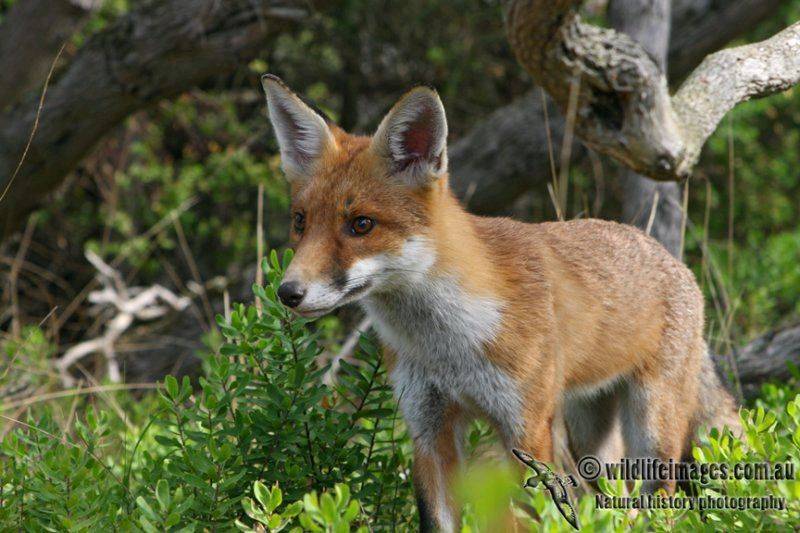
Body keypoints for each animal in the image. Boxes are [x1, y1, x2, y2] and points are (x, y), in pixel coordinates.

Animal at [260, 74, 740, 532]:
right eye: (300, 222)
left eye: (361, 224)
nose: (288, 293)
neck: (449, 347)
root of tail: (674, 261)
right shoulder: (428, 429)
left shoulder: (525, 428)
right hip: (590, 436)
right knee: (616, 503)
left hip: (651, 431)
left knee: (660, 506)